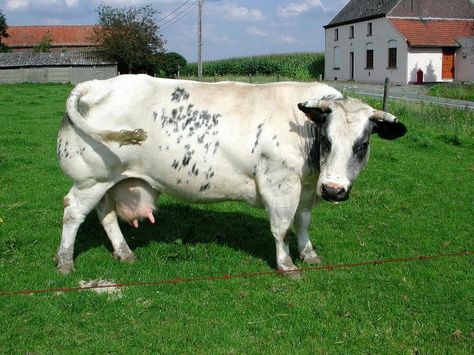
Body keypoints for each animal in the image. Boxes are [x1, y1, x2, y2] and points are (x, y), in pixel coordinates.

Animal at [54, 75, 404, 280]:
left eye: (362, 144)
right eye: (327, 140)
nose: (333, 190)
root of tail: (98, 83)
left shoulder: (305, 189)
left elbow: (303, 223)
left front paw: (309, 255)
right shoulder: (280, 185)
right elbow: (282, 228)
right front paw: (287, 265)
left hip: (109, 182)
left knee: (106, 213)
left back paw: (124, 252)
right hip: (90, 180)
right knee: (73, 212)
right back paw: (65, 262)